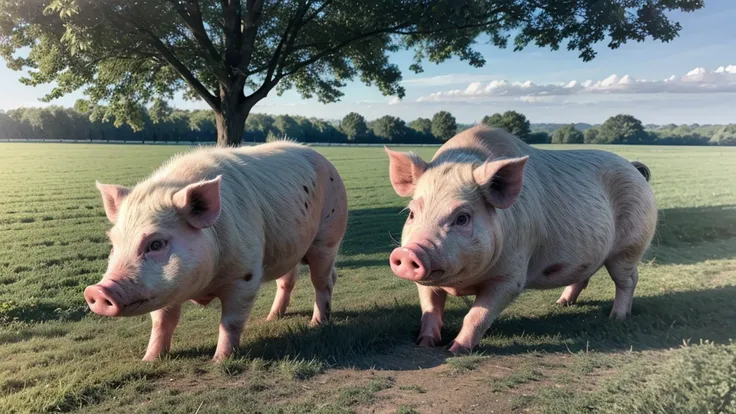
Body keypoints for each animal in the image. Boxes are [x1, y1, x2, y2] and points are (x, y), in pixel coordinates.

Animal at [85, 141, 350, 360]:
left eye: (156, 243)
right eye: (114, 243)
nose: (97, 290)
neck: (205, 285)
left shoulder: (245, 275)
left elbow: (230, 322)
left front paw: (219, 360)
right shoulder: (164, 289)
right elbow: (162, 322)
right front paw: (149, 360)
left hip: (328, 237)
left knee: (323, 282)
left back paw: (316, 324)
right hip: (290, 245)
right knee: (288, 281)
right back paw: (272, 317)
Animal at [386, 126, 656, 352]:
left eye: (462, 217)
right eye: (412, 213)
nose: (408, 252)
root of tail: (634, 168)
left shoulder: (512, 275)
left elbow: (477, 315)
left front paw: (455, 350)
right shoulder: (426, 283)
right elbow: (430, 308)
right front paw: (425, 344)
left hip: (630, 247)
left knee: (628, 280)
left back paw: (616, 317)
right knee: (584, 277)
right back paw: (560, 303)